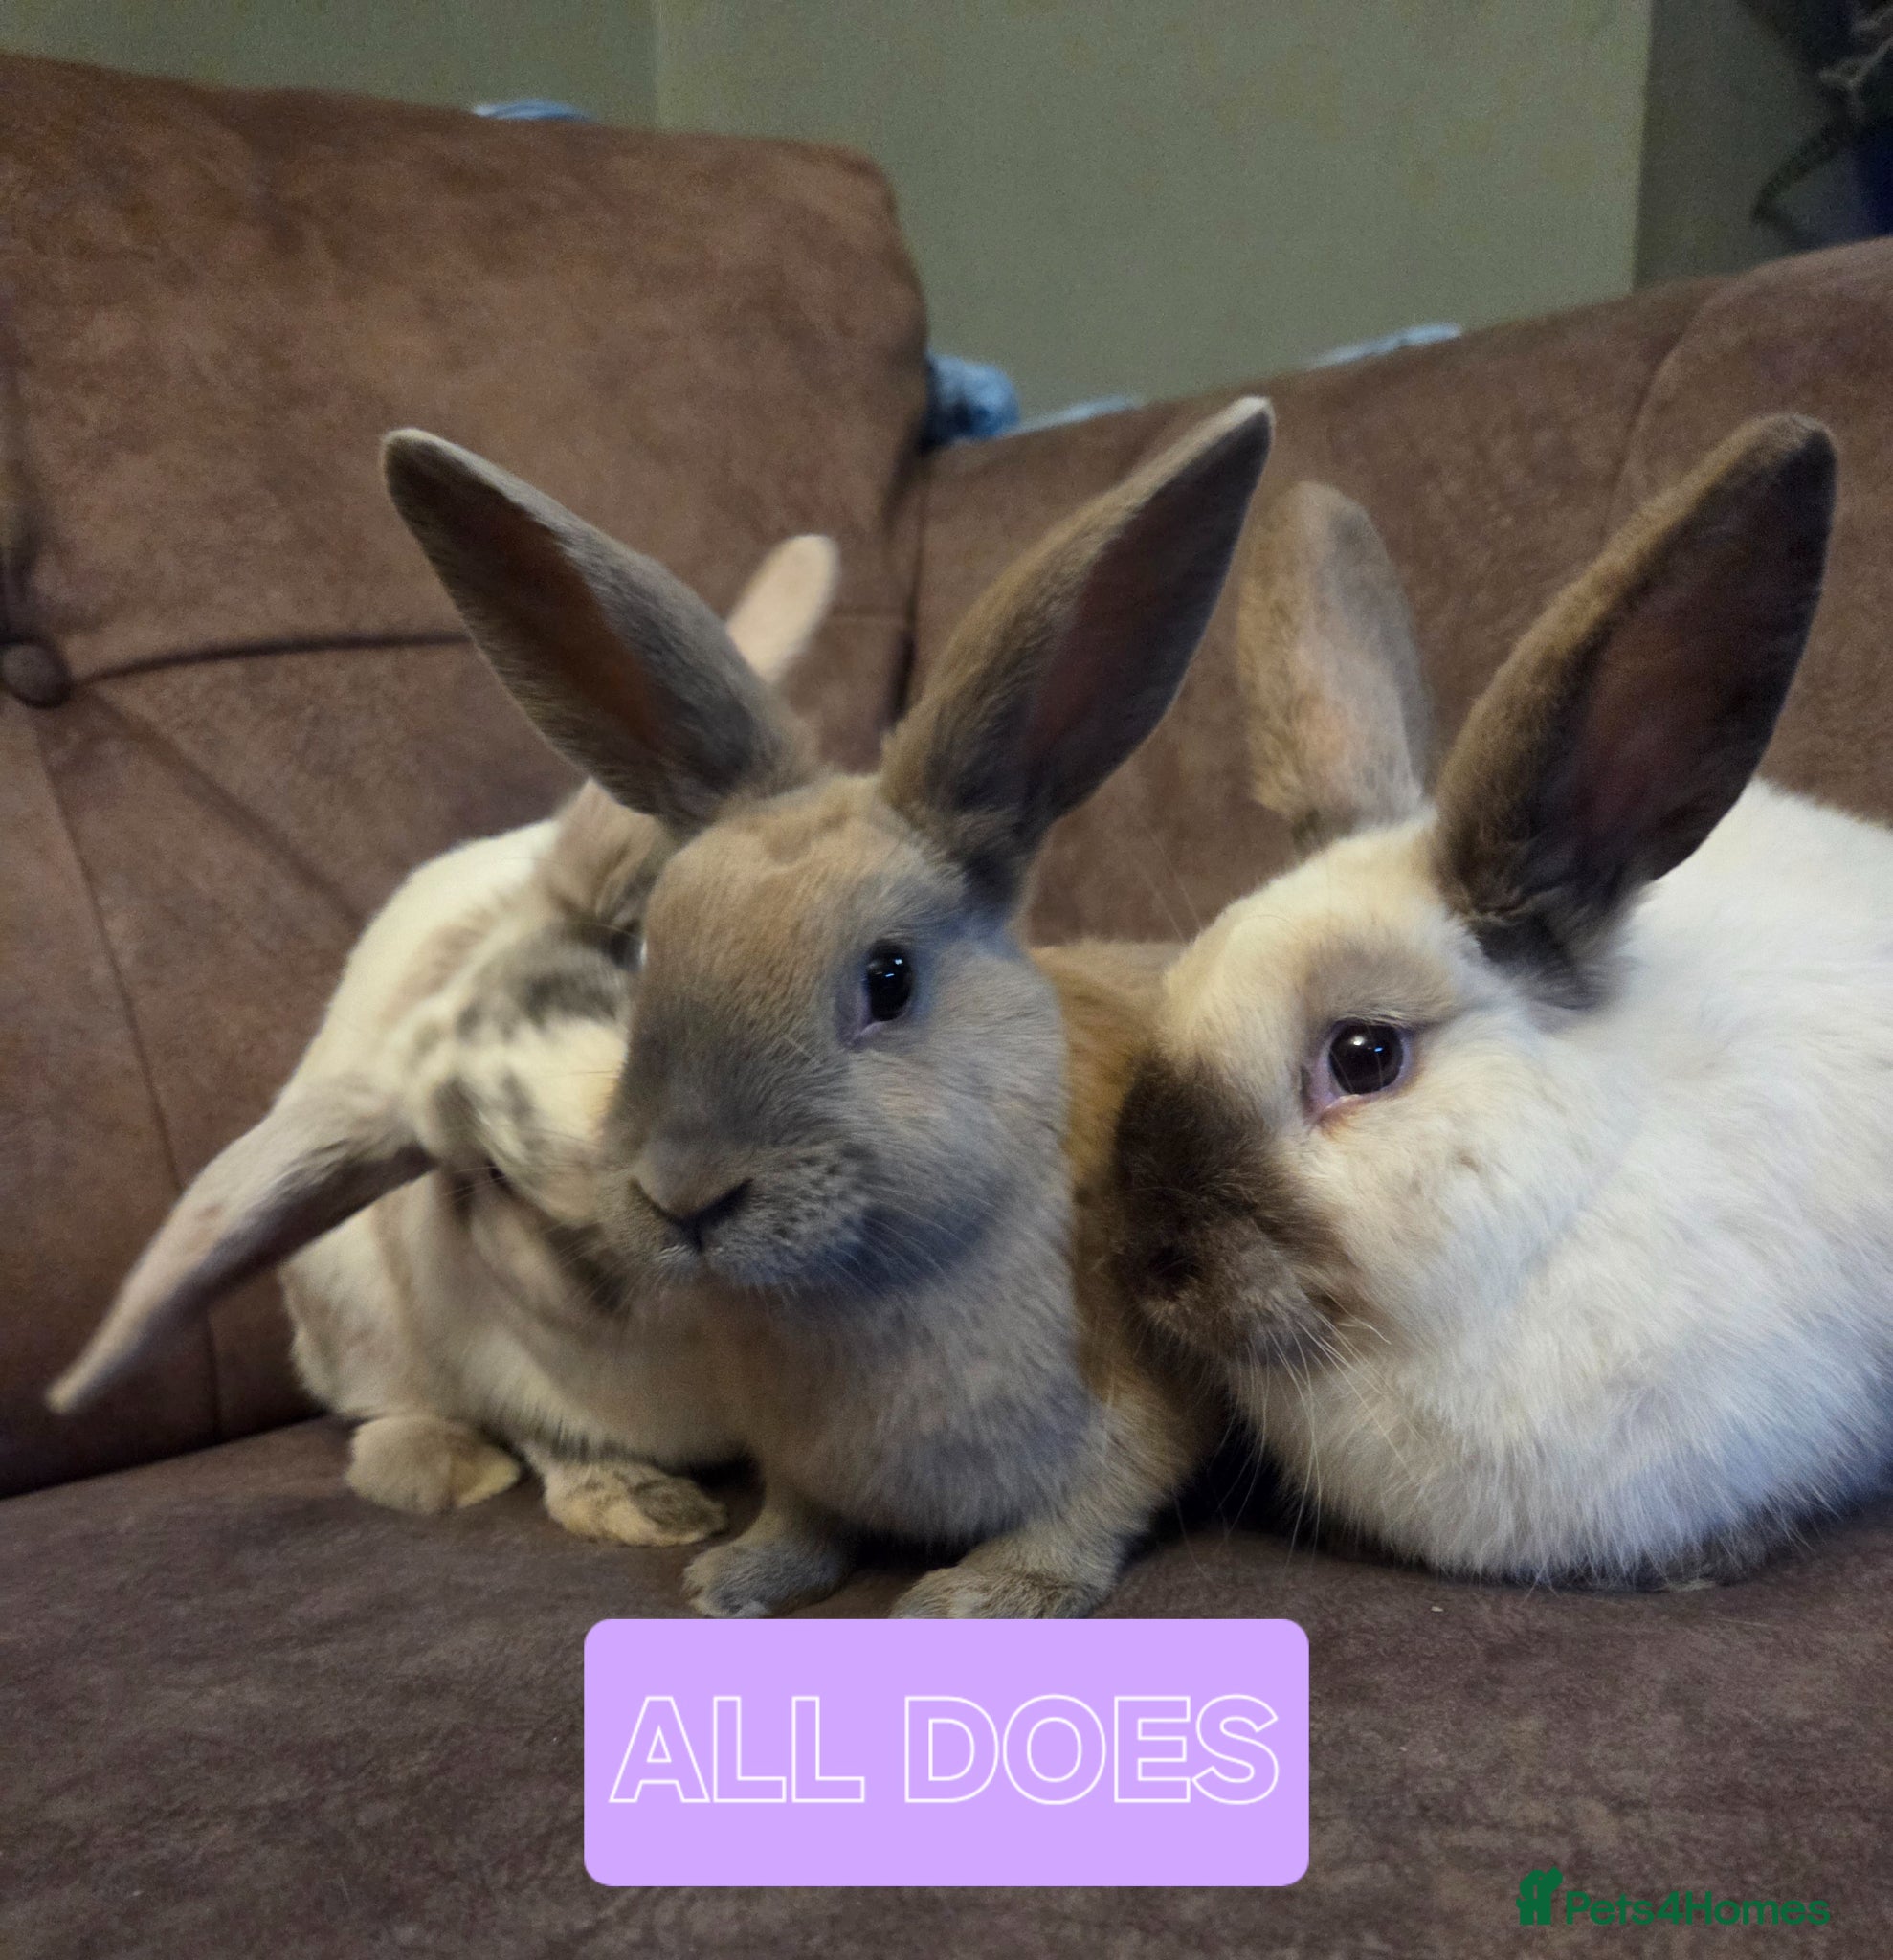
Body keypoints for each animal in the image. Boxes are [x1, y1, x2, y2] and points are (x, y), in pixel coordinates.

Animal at [47, 533, 840, 1548]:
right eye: (489, 1176)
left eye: (643, 959)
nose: (678, 1190)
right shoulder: (518, 1380)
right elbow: (556, 1442)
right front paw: (648, 1514)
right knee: (390, 1411)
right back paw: (440, 1471)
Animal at [376, 395, 1275, 1616]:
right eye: (652, 960)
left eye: (888, 979)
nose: (685, 1195)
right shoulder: (797, 1462)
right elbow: (801, 1518)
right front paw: (733, 1575)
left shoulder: (1138, 1414)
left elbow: (1086, 1513)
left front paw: (974, 1597)